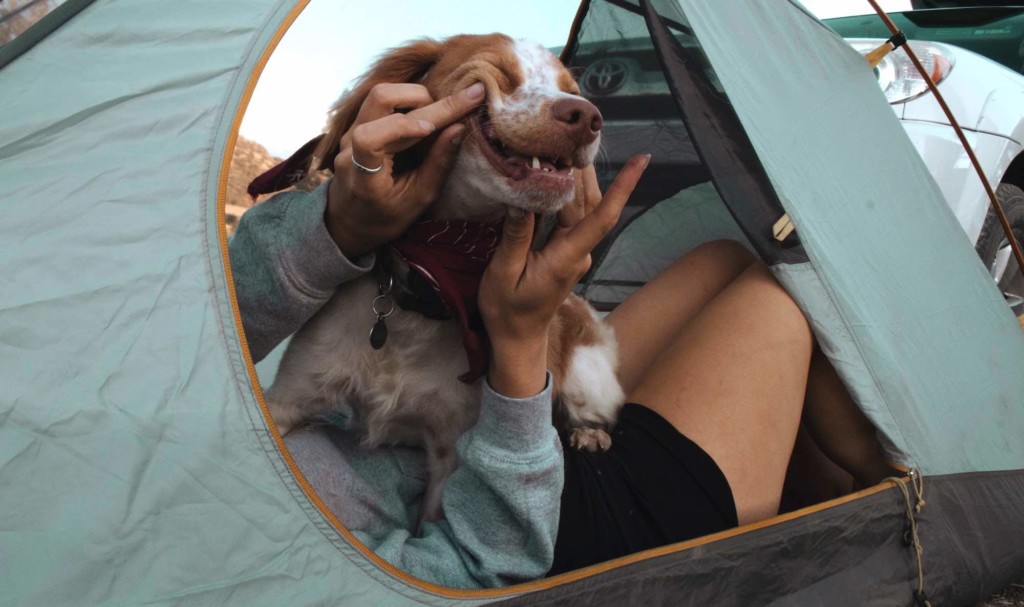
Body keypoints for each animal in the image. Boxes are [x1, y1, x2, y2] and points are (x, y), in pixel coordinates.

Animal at [262, 33, 622, 519]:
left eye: (573, 91)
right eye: (500, 74)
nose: (586, 117)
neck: (425, 290)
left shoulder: (449, 455)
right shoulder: (289, 397)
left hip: (588, 375)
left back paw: (588, 432)